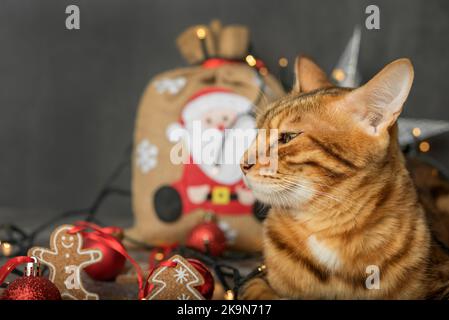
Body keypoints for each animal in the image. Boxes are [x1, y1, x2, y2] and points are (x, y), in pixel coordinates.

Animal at [238, 56, 448, 298]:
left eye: (287, 137)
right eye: (257, 133)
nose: (242, 164)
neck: (326, 226)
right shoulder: (256, 280)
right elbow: (261, 291)